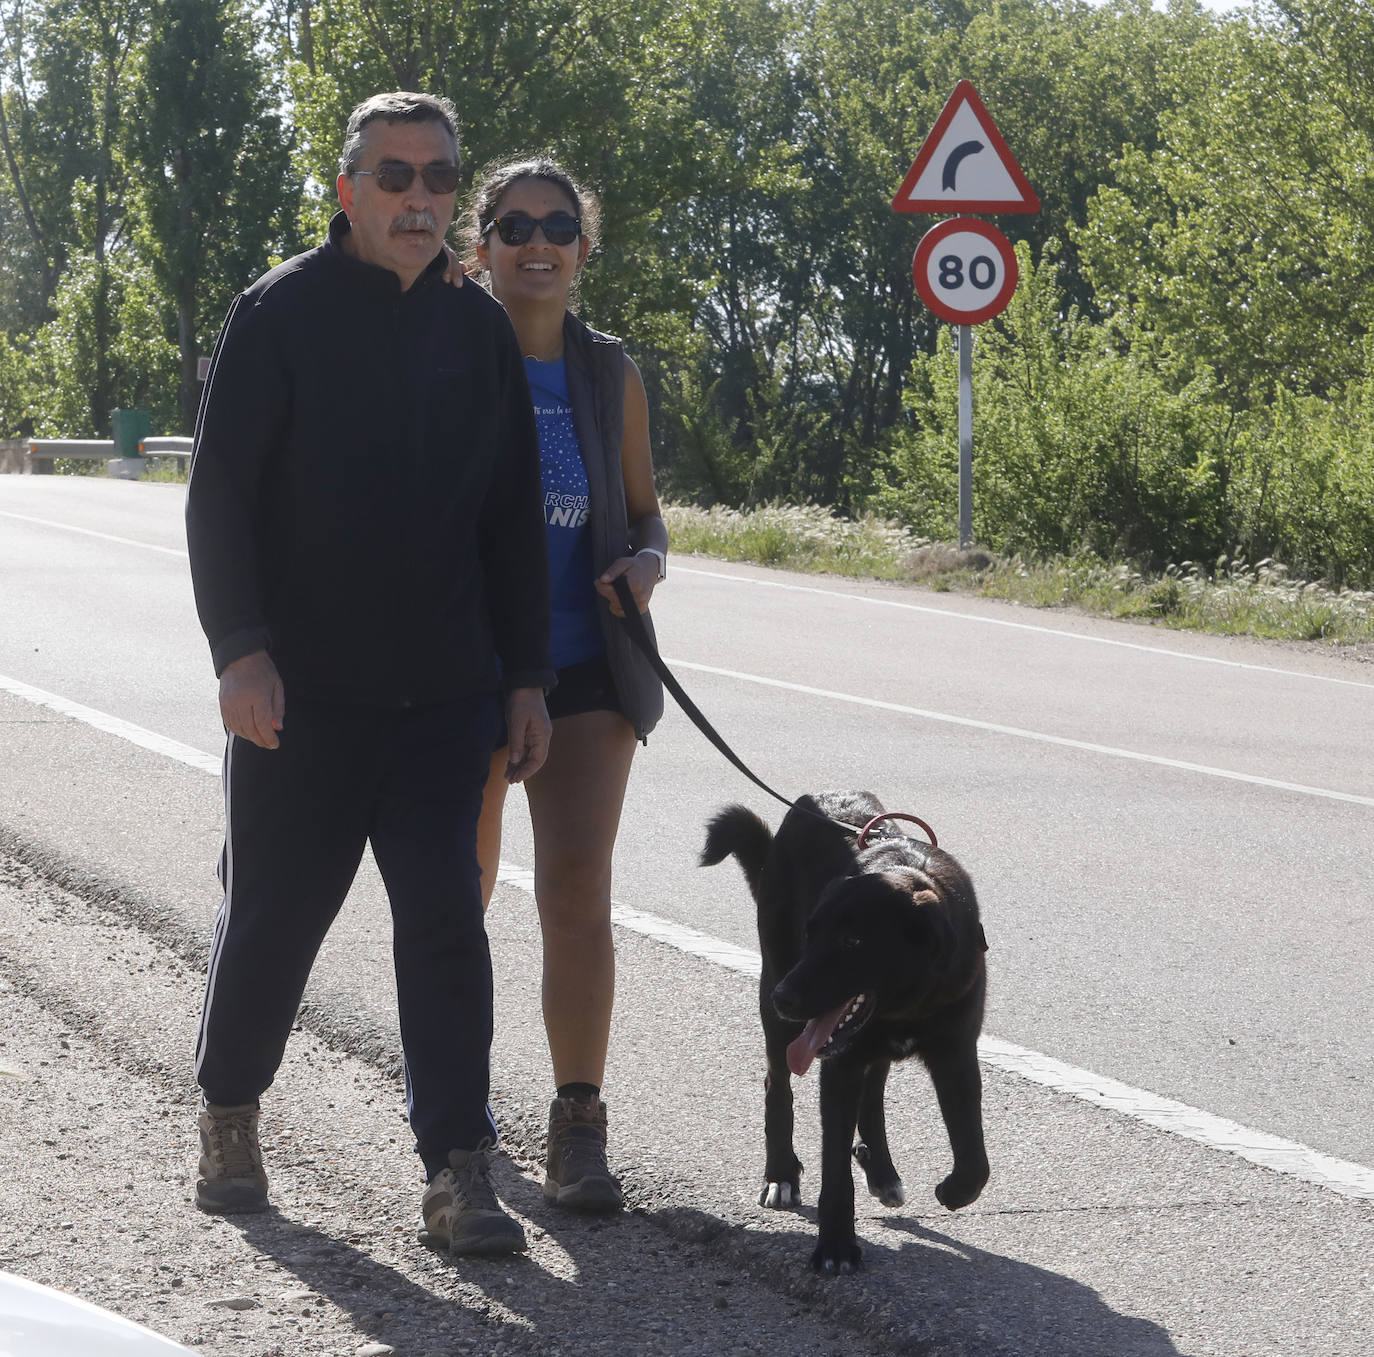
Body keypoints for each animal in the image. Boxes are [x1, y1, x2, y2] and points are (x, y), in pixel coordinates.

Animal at [697, 791, 989, 1269]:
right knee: (777, 1086)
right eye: (811, 933)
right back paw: (781, 1173)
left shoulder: (956, 1055)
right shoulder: (839, 1068)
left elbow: (975, 1158)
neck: (905, 1005)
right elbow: (835, 1169)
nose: (783, 997)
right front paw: (835, 1247)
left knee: (873, 1093)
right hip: (779, 997)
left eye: (852, 942)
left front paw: (953, 1190)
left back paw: (882, 1170)